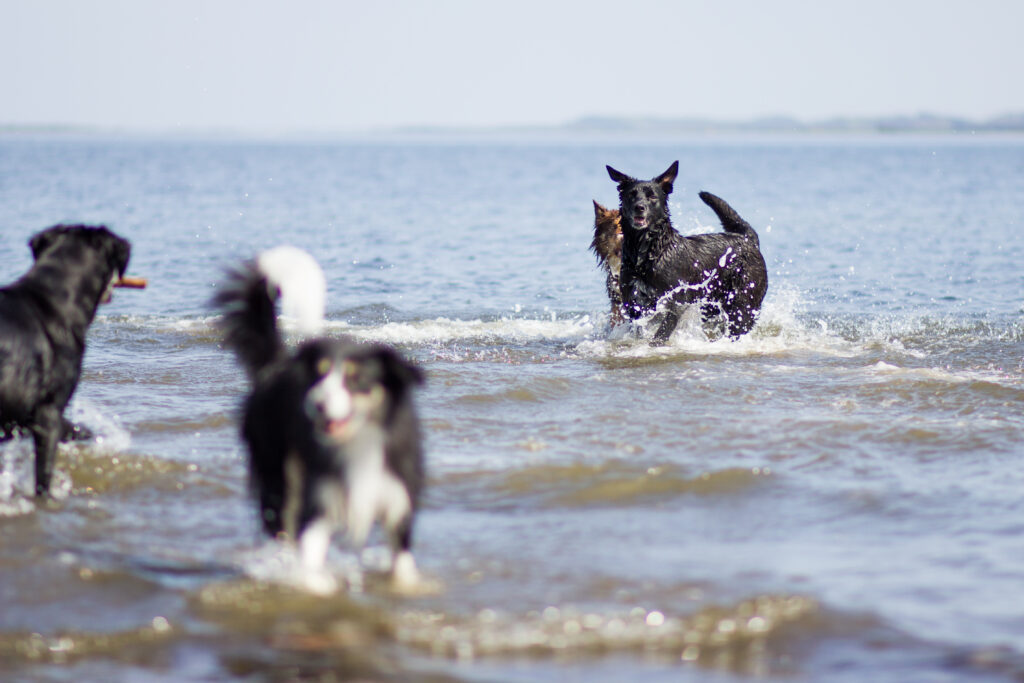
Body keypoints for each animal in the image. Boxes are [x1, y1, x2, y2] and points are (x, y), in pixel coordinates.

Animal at [214, 248, 425, 589]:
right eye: (318, 375)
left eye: (355, 379)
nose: (316, 404)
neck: (358, 442)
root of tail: (277, 365)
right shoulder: (320, 498)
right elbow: (310, 549)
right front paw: (312, 584)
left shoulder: (397, 497)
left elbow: (403, 560)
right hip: (277, 471)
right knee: (280, 522)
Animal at [602, 160, 765, 342]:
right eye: (631, 195)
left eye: (652, 196)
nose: (639, 207)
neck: (650, 253)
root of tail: (747, 239)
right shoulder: (632, 304)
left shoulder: (677, 302)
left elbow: (660, 334)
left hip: (743, 305)